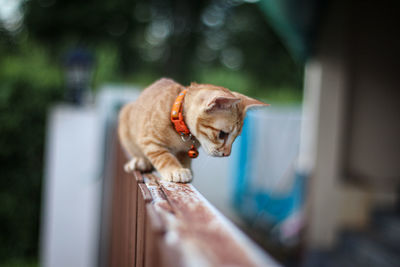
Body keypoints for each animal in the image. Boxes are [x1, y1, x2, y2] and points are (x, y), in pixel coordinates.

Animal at [119, 77, 268, 182]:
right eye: (222, 134)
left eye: (236, 137)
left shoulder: (185, 150)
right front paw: (176, 170)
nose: (227, 154)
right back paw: (140, 162)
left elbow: (184, 157)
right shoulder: (149, 139)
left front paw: (185, 167)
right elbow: (164, 156)